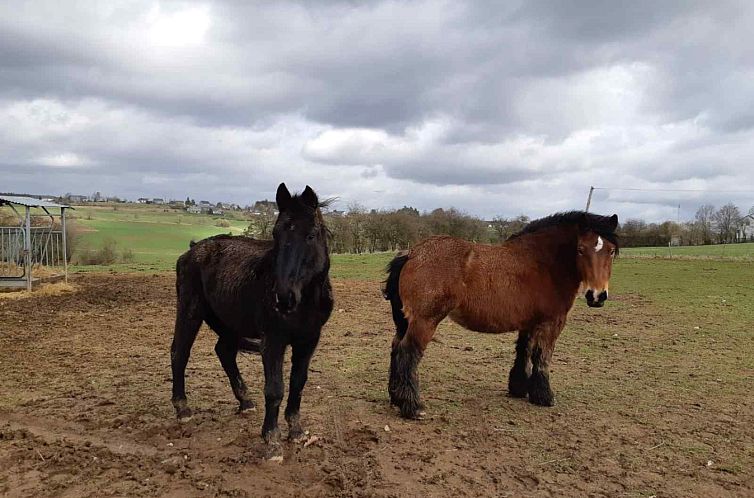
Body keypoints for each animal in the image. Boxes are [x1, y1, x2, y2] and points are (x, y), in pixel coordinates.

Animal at [173, 183, 334, 456]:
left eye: (311, 235)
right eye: (276, 234)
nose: (283, 297)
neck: (305, 303)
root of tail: (191, 250)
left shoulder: (309, 340)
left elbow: (298, 383)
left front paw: (296, 431)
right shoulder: (273, 340)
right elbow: (275, 389)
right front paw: (272, 440)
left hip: (228, 322)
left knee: (224, 351)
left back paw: (245, 402)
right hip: (189, 311)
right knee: (179, 351)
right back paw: (182, 408)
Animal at [382, 212, 616, 418]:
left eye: (611, 250)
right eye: (580, 249)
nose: (597, 296)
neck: (543, 264)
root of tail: (412, 253)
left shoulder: (529, 323)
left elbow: (524, 351)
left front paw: (519, 388)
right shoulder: (551, 323)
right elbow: (542, 357)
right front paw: (544, 396)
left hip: (406, 321)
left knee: (396, 348)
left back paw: (396, 398)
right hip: (424, 321)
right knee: (407, 353)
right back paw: (413, 406)